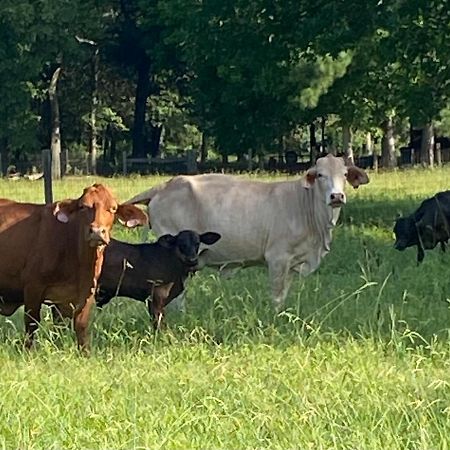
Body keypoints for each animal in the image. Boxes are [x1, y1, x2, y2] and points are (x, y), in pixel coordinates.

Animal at [0, 183, 148, 352]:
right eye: (83, 206)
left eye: (113, 208)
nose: (97, 232)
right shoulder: (33, 287)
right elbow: (32, 324)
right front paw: (28, 351)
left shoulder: (86, 292)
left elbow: (79, 327)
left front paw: (85, 353)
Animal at [126, 155, 370, 310]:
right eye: (320, 175)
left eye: (345, 174)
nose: (336, 196)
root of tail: (165, 185)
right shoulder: (277, 259)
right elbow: (277, 297)